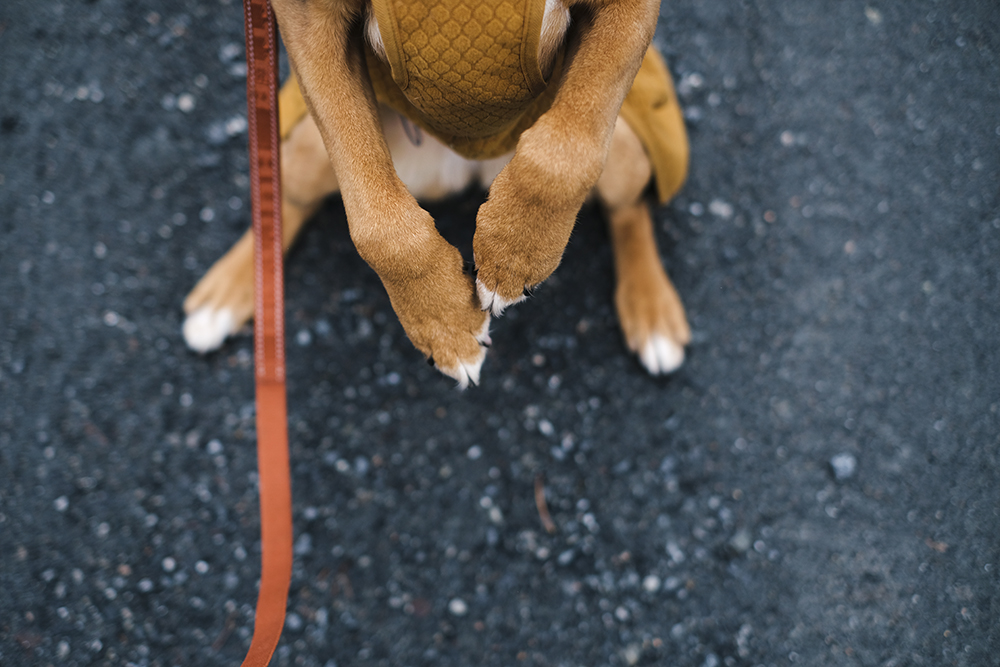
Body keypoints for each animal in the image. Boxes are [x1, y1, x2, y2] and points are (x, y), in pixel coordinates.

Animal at [184, 0, 692, 386]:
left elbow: (566, 155)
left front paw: (515, 252)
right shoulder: (308, 24)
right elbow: (377, 224)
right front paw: (443, 323)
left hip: (626, 139)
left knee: (628, 211)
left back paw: (652, 312)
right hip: (308, 144)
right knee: (283, 193)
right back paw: (228, 295)